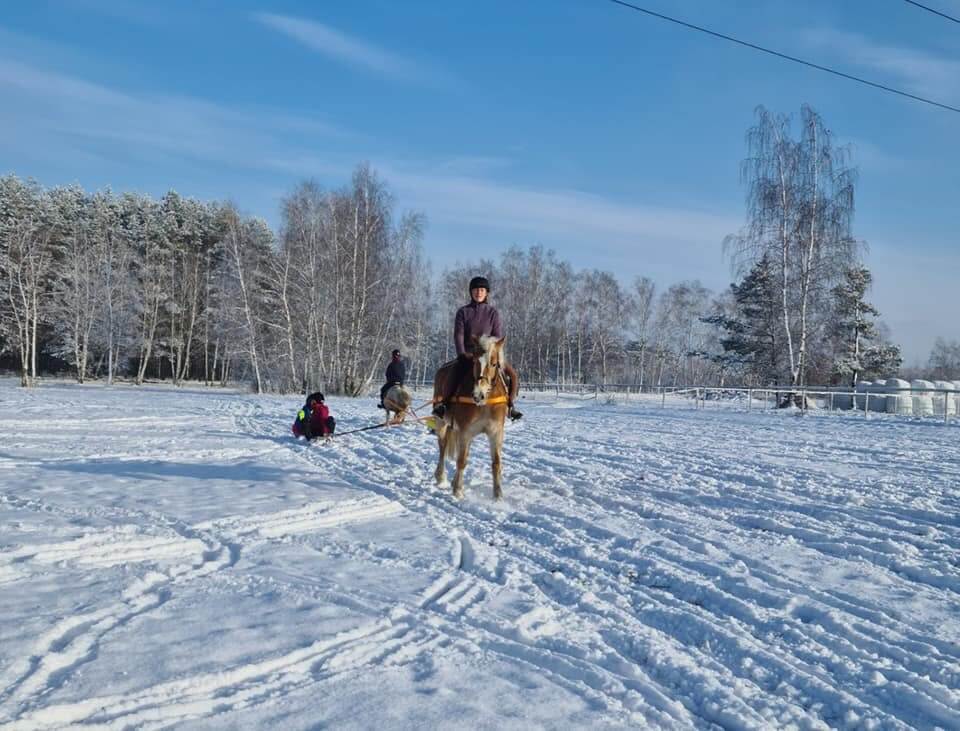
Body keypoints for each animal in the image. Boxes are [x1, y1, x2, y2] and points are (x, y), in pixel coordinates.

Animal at [434, 336, 510, 498]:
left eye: (494, 363)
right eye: (475, 361)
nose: (478, 395)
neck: (486, 403)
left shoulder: (495, 433)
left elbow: (496, 463)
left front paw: (498, 495)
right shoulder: (465, 432)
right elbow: (461, 460)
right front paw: (458, 491)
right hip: (441, 422)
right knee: (442, 446)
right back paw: (441, 477)